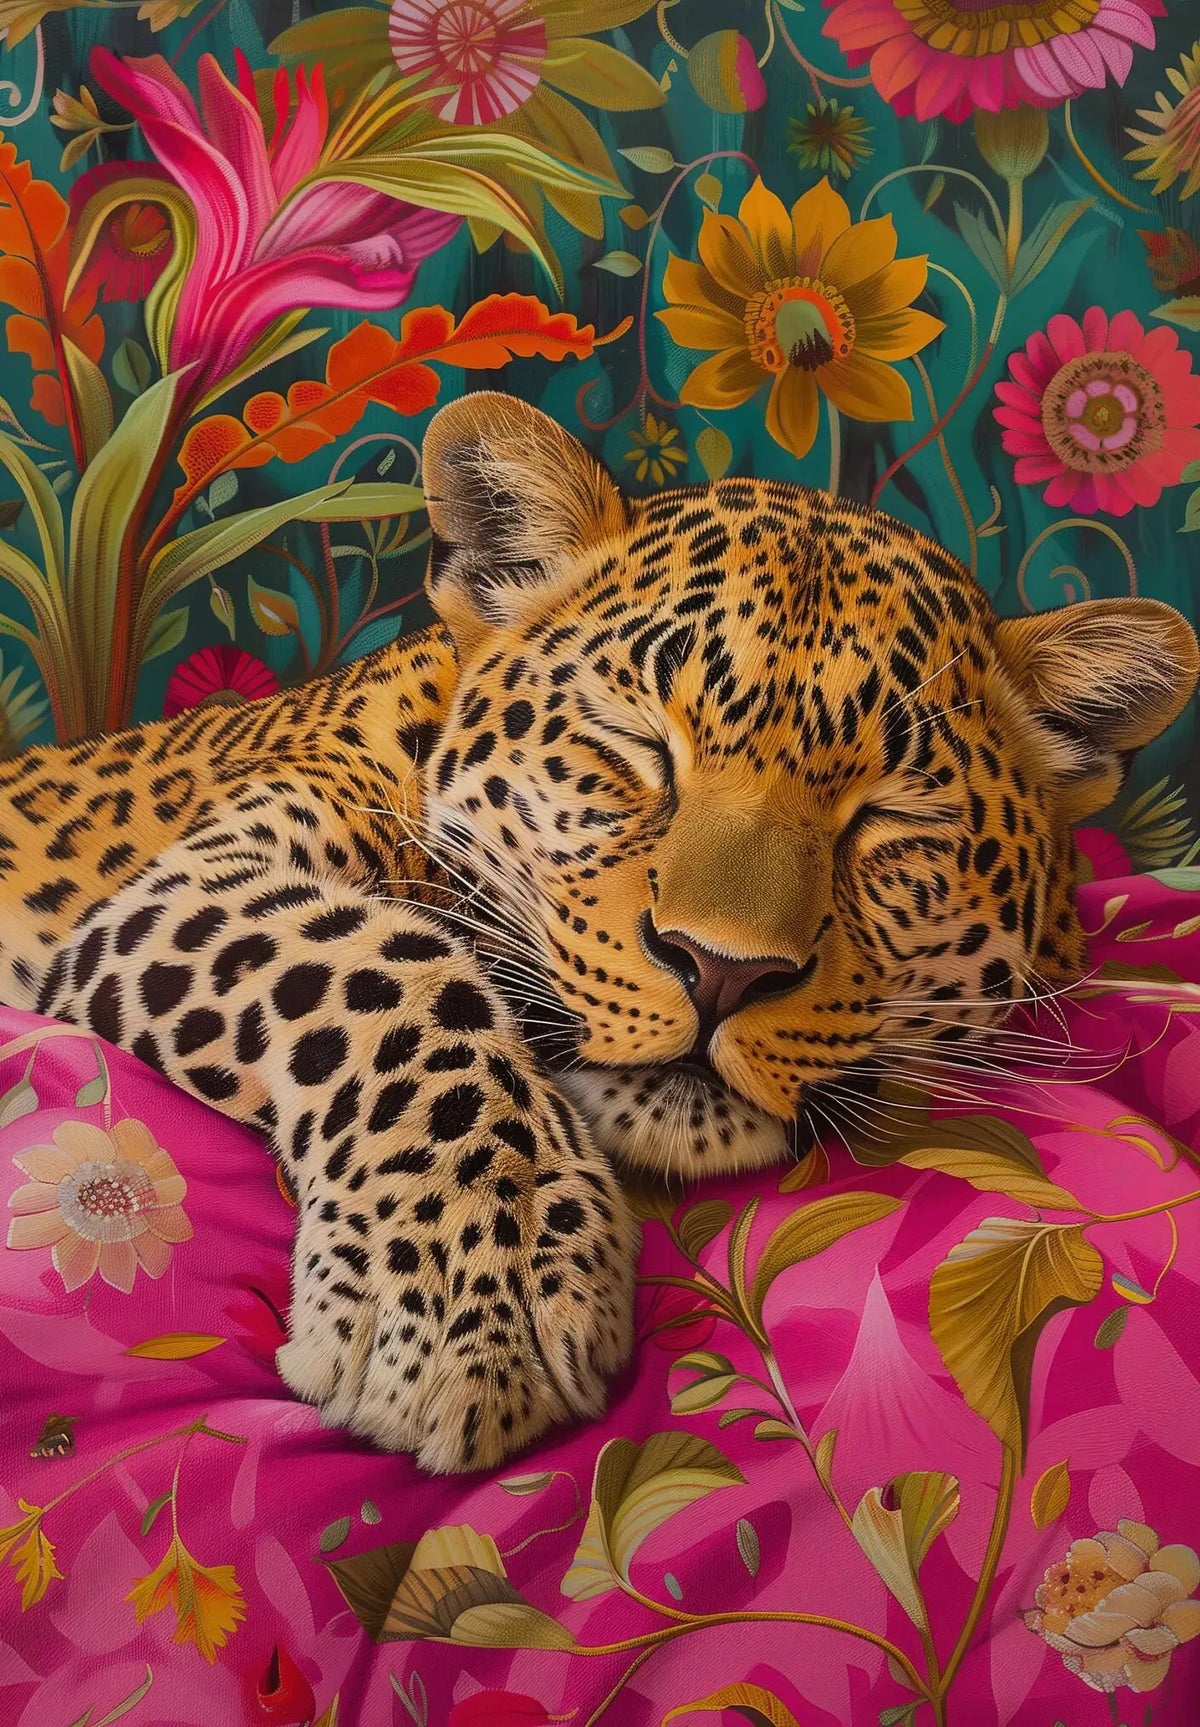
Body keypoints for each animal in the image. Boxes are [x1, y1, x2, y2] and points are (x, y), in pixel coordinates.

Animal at [0, 391, 1195, 1472]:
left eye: (889, 818)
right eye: (639, 746)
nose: (720, 970)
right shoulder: (192, 880)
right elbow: (384, 963)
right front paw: (465, 1300)